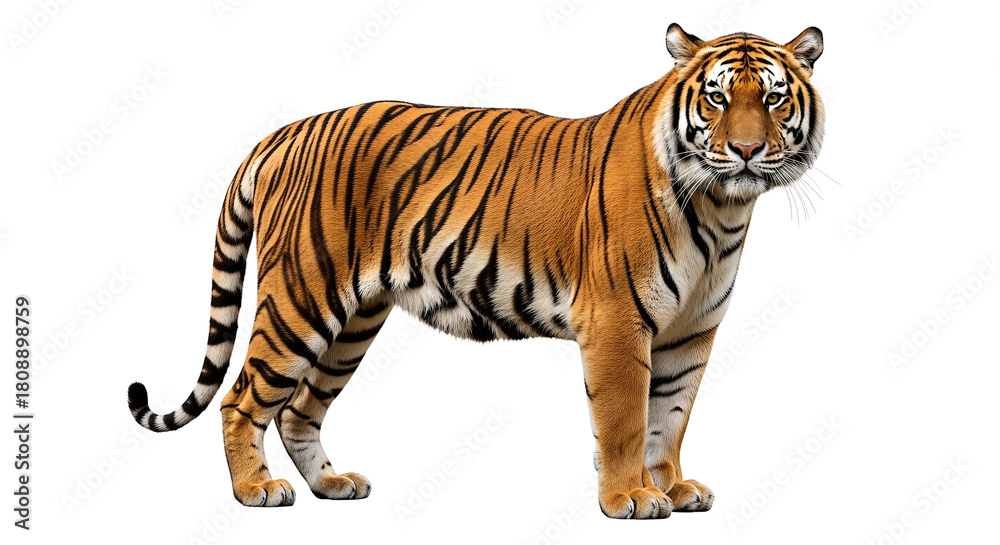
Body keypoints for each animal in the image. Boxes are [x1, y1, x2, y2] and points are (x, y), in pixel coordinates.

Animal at [127, 23, 824, 519]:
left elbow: (670, 419)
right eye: (716, 98)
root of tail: (284, 132)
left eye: (772, 97)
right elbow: (626, 419)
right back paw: (256, 490)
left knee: (300, 408)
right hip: (300, 298)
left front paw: (674, 489)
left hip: (353, 322)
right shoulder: (619, 324)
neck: (722, 207)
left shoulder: (690, 332)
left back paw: (333, 484)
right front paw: (629, 498)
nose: (745, 149)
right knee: (242, 398)